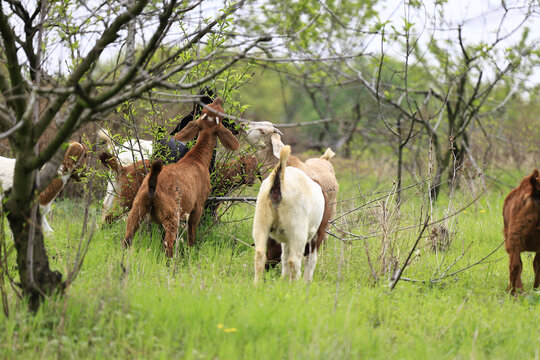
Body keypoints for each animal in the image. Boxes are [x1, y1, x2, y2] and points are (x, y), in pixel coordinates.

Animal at [125, 97, 239, 258]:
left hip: (137, 208)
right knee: (168, 244)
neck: (198, 159)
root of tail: (152, 185)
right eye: (222, 115)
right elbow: (191, 235)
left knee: (127, 238)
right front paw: (192, 253)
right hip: (172, 215)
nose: (219, 99)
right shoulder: (198, 205)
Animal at [253, 145, 330, 282]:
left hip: (261, 221)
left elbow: (284, 256)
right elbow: (311, 259)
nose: (269, 265)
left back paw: (257, 284)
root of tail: (279, 180)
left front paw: (283, 280)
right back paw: (294, 284)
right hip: (297, 229)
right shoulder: (318, 233)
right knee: (294, 260)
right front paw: (306, 282)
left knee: (260, 255)